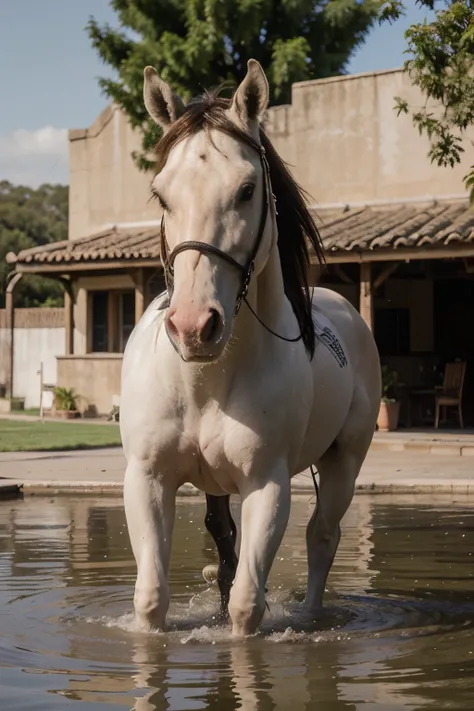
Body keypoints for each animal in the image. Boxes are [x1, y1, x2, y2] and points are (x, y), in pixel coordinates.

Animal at [119, 59, 382, 640]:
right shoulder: (147, 479)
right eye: (160, 194)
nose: (194, 327)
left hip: (345, 462)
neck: (205, 381)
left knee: (321, 536)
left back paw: (310, 614)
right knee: (223, 537)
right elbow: (151, 599)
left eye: (245, 189)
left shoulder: (268, 485)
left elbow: (246, 606)